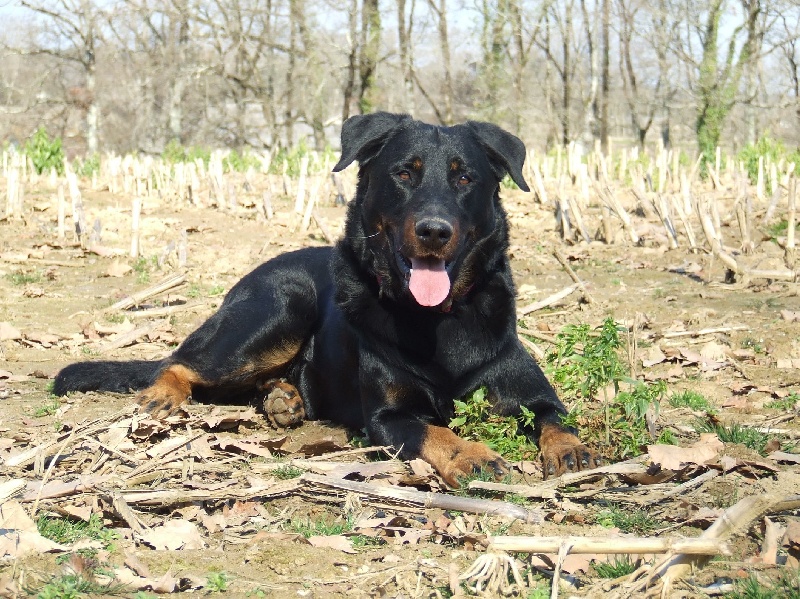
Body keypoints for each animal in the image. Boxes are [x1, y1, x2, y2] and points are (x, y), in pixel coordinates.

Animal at [53, 112, 596, 488]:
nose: (434, 231)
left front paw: (571, 449)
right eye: (404, 173)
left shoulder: (532, 392)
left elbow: (555, 417)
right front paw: (473, 454)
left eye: (465, 178)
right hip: (278, 310)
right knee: (180, 362)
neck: (439, 321)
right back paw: (166, 394)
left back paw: (284, 398)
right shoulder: (389, 419)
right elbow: (437, 433)